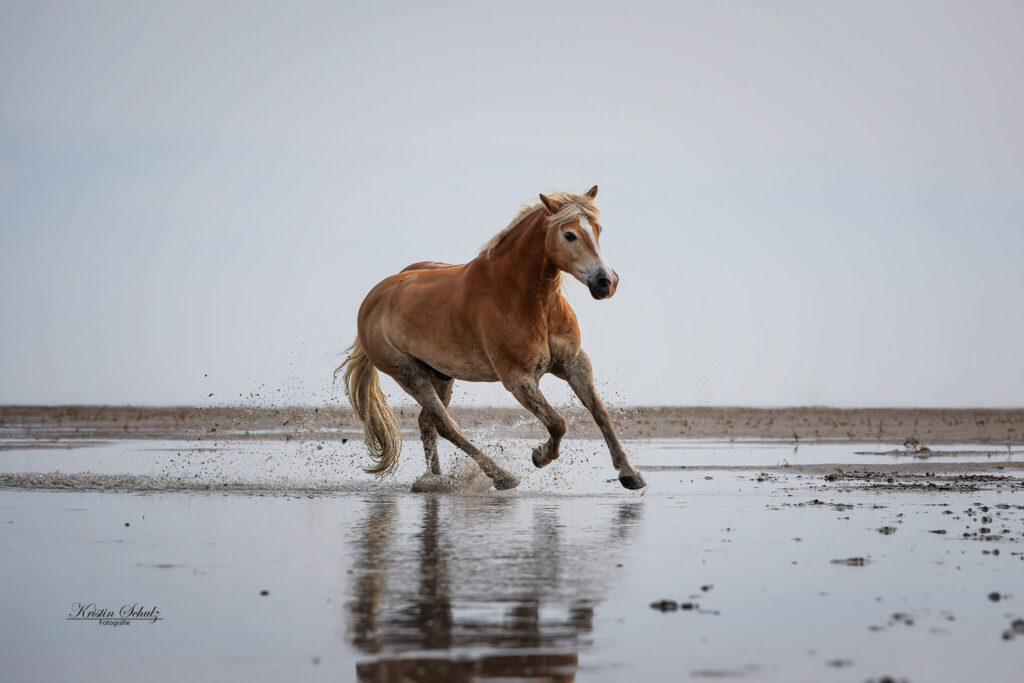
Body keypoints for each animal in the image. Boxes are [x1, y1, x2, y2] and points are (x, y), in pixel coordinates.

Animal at [337, 186, 646, 491]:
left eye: (598, 229)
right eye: (569, 234)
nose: (606, 282)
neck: (527, 299)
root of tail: (373, 299)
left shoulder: (574, 362)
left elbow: (600, 412)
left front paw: (629, 472)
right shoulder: (519, 379)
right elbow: (558, 423)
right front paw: (540, 455)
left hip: (440, 375)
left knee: (428, 424)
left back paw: (434, 480)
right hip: (410, 375)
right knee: (446, 426)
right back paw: (501, 476)